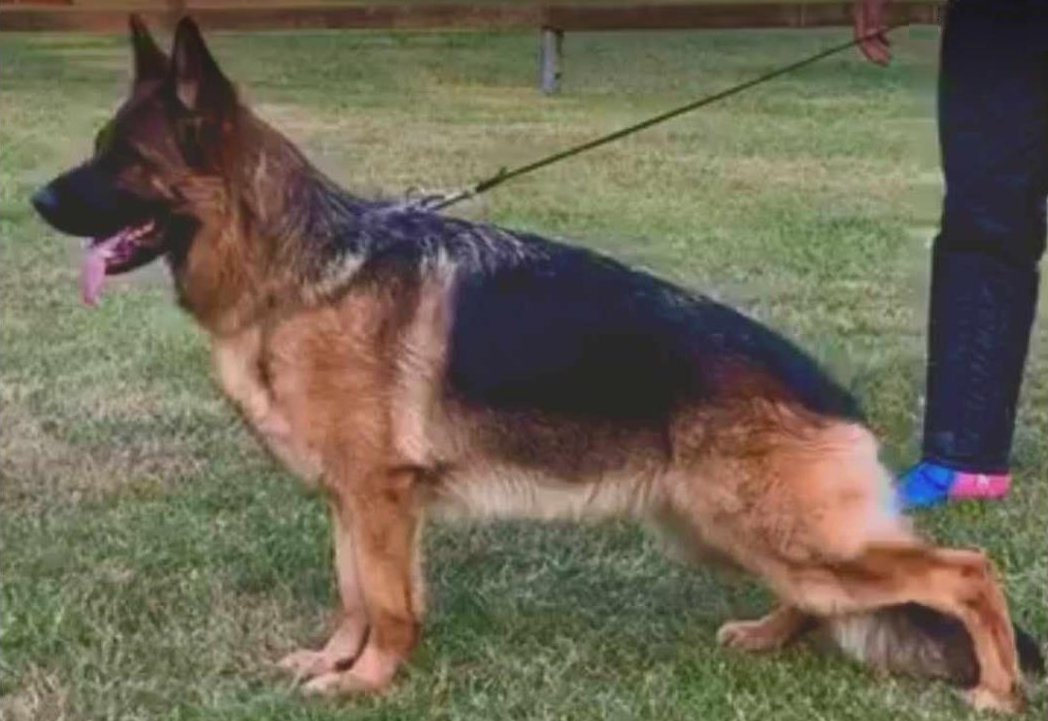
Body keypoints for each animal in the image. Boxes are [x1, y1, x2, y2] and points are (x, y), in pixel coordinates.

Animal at [32, 15, 1043, 713]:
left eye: (122, 158)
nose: (35, 198)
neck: (301, 270)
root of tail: (835, 395)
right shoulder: (351, 500)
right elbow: (353, 593)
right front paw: (334, 660)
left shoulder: (380, 498)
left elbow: (387, 602)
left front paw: (368, 680)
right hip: (733, 532)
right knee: (824, 598)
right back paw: (765, 634)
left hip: (789, 534)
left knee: (967, 570)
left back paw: (998, 687)